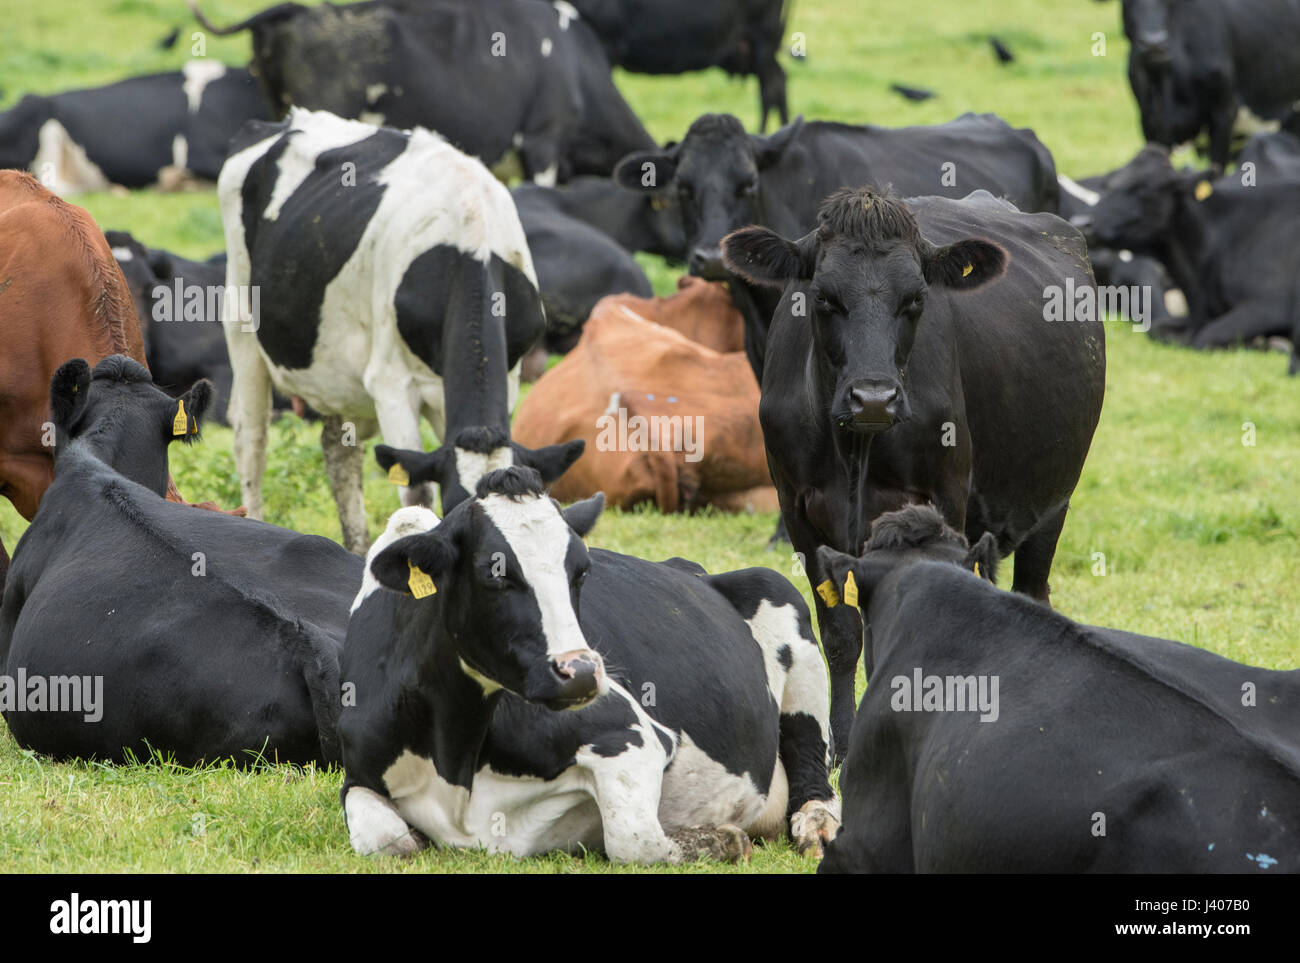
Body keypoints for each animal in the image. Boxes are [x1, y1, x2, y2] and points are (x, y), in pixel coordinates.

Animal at [218, 108, 582, 553]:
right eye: (458, 509)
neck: (470, 243)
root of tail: (279, 122)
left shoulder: (507, 379)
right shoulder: (392, 382)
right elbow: (416, 494)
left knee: (339, 452)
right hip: (241, 324)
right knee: (251, 439)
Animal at [339, 466, 840, 862]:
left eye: (581, 571)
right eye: (493, 574)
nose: (579, 672)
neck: (456, 758)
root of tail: (694, 570)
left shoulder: (633, 737)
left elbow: (634, 840)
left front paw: (720, 841)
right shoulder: (358, 771)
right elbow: (386, 840)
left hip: (782, 598)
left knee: (814, 773)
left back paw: (816, 827)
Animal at [720, 186, 1107, 758]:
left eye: (916, 300)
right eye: (824, 298)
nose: (873, 397)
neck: (854, 450)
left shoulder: (944, 499)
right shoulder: (798, 512)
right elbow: (842, 632)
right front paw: (842, 742)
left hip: (1052, 502)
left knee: (1033, 593)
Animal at [1074, 144, 1300, 371]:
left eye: (1146, 190)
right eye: (1108, 184)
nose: (1083, 222)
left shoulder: (1271, 304)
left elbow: (1205, 336)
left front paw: (1270, 343)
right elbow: (1158, 328)